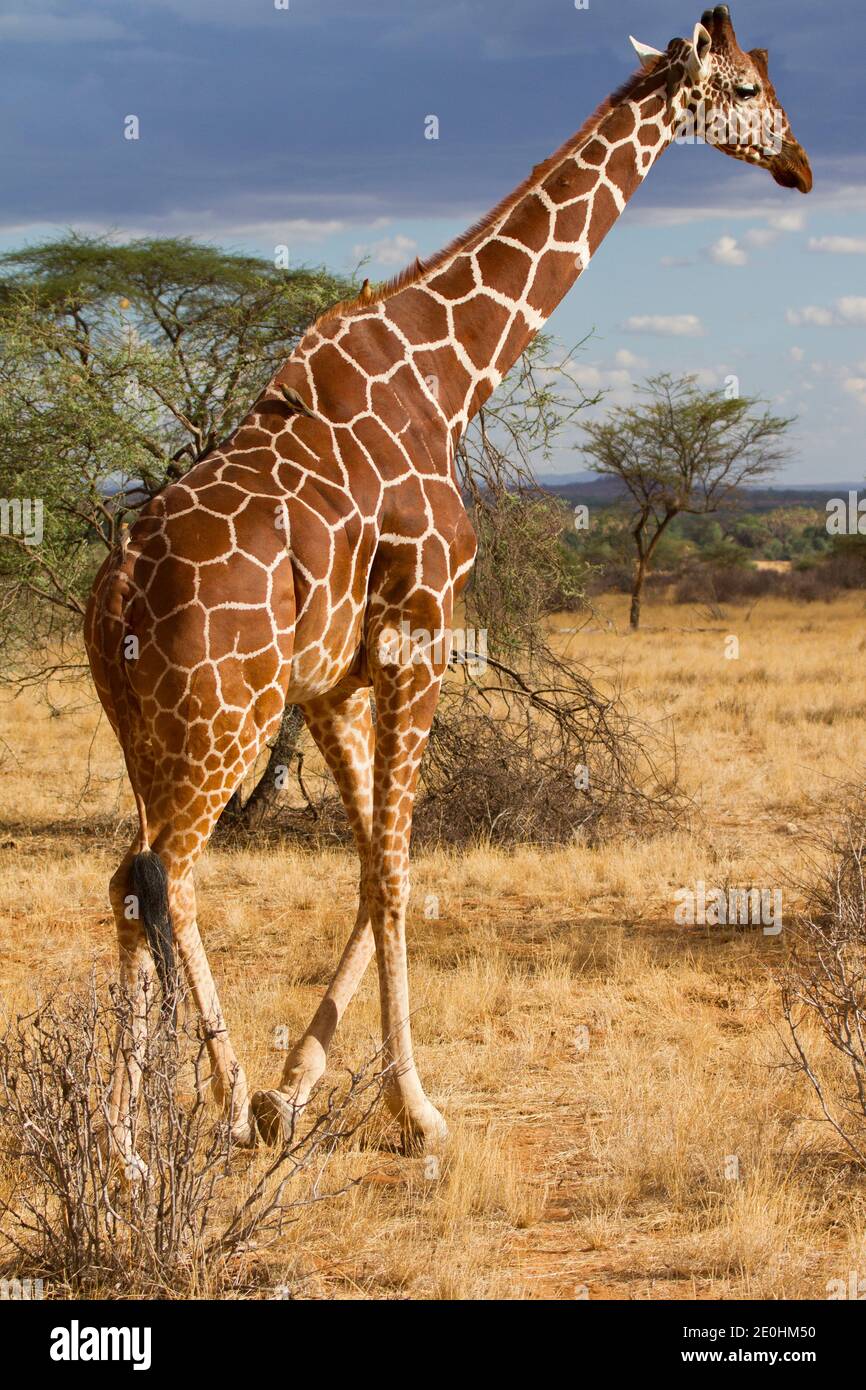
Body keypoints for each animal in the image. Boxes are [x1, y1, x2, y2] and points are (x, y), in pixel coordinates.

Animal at [85, 6, 811, 1159]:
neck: (452, 368)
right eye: (744, 88)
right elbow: (394, 872)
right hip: (222, 720)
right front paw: (413, 1108)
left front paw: (296, 1087)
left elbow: (373, 867)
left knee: (134, 880)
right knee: (164, 875)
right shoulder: (418, 634)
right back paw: (178, 1123)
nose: (799, 164)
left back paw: (148, 1130)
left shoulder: (334, 681)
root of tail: (110, 592)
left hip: (152, 727)